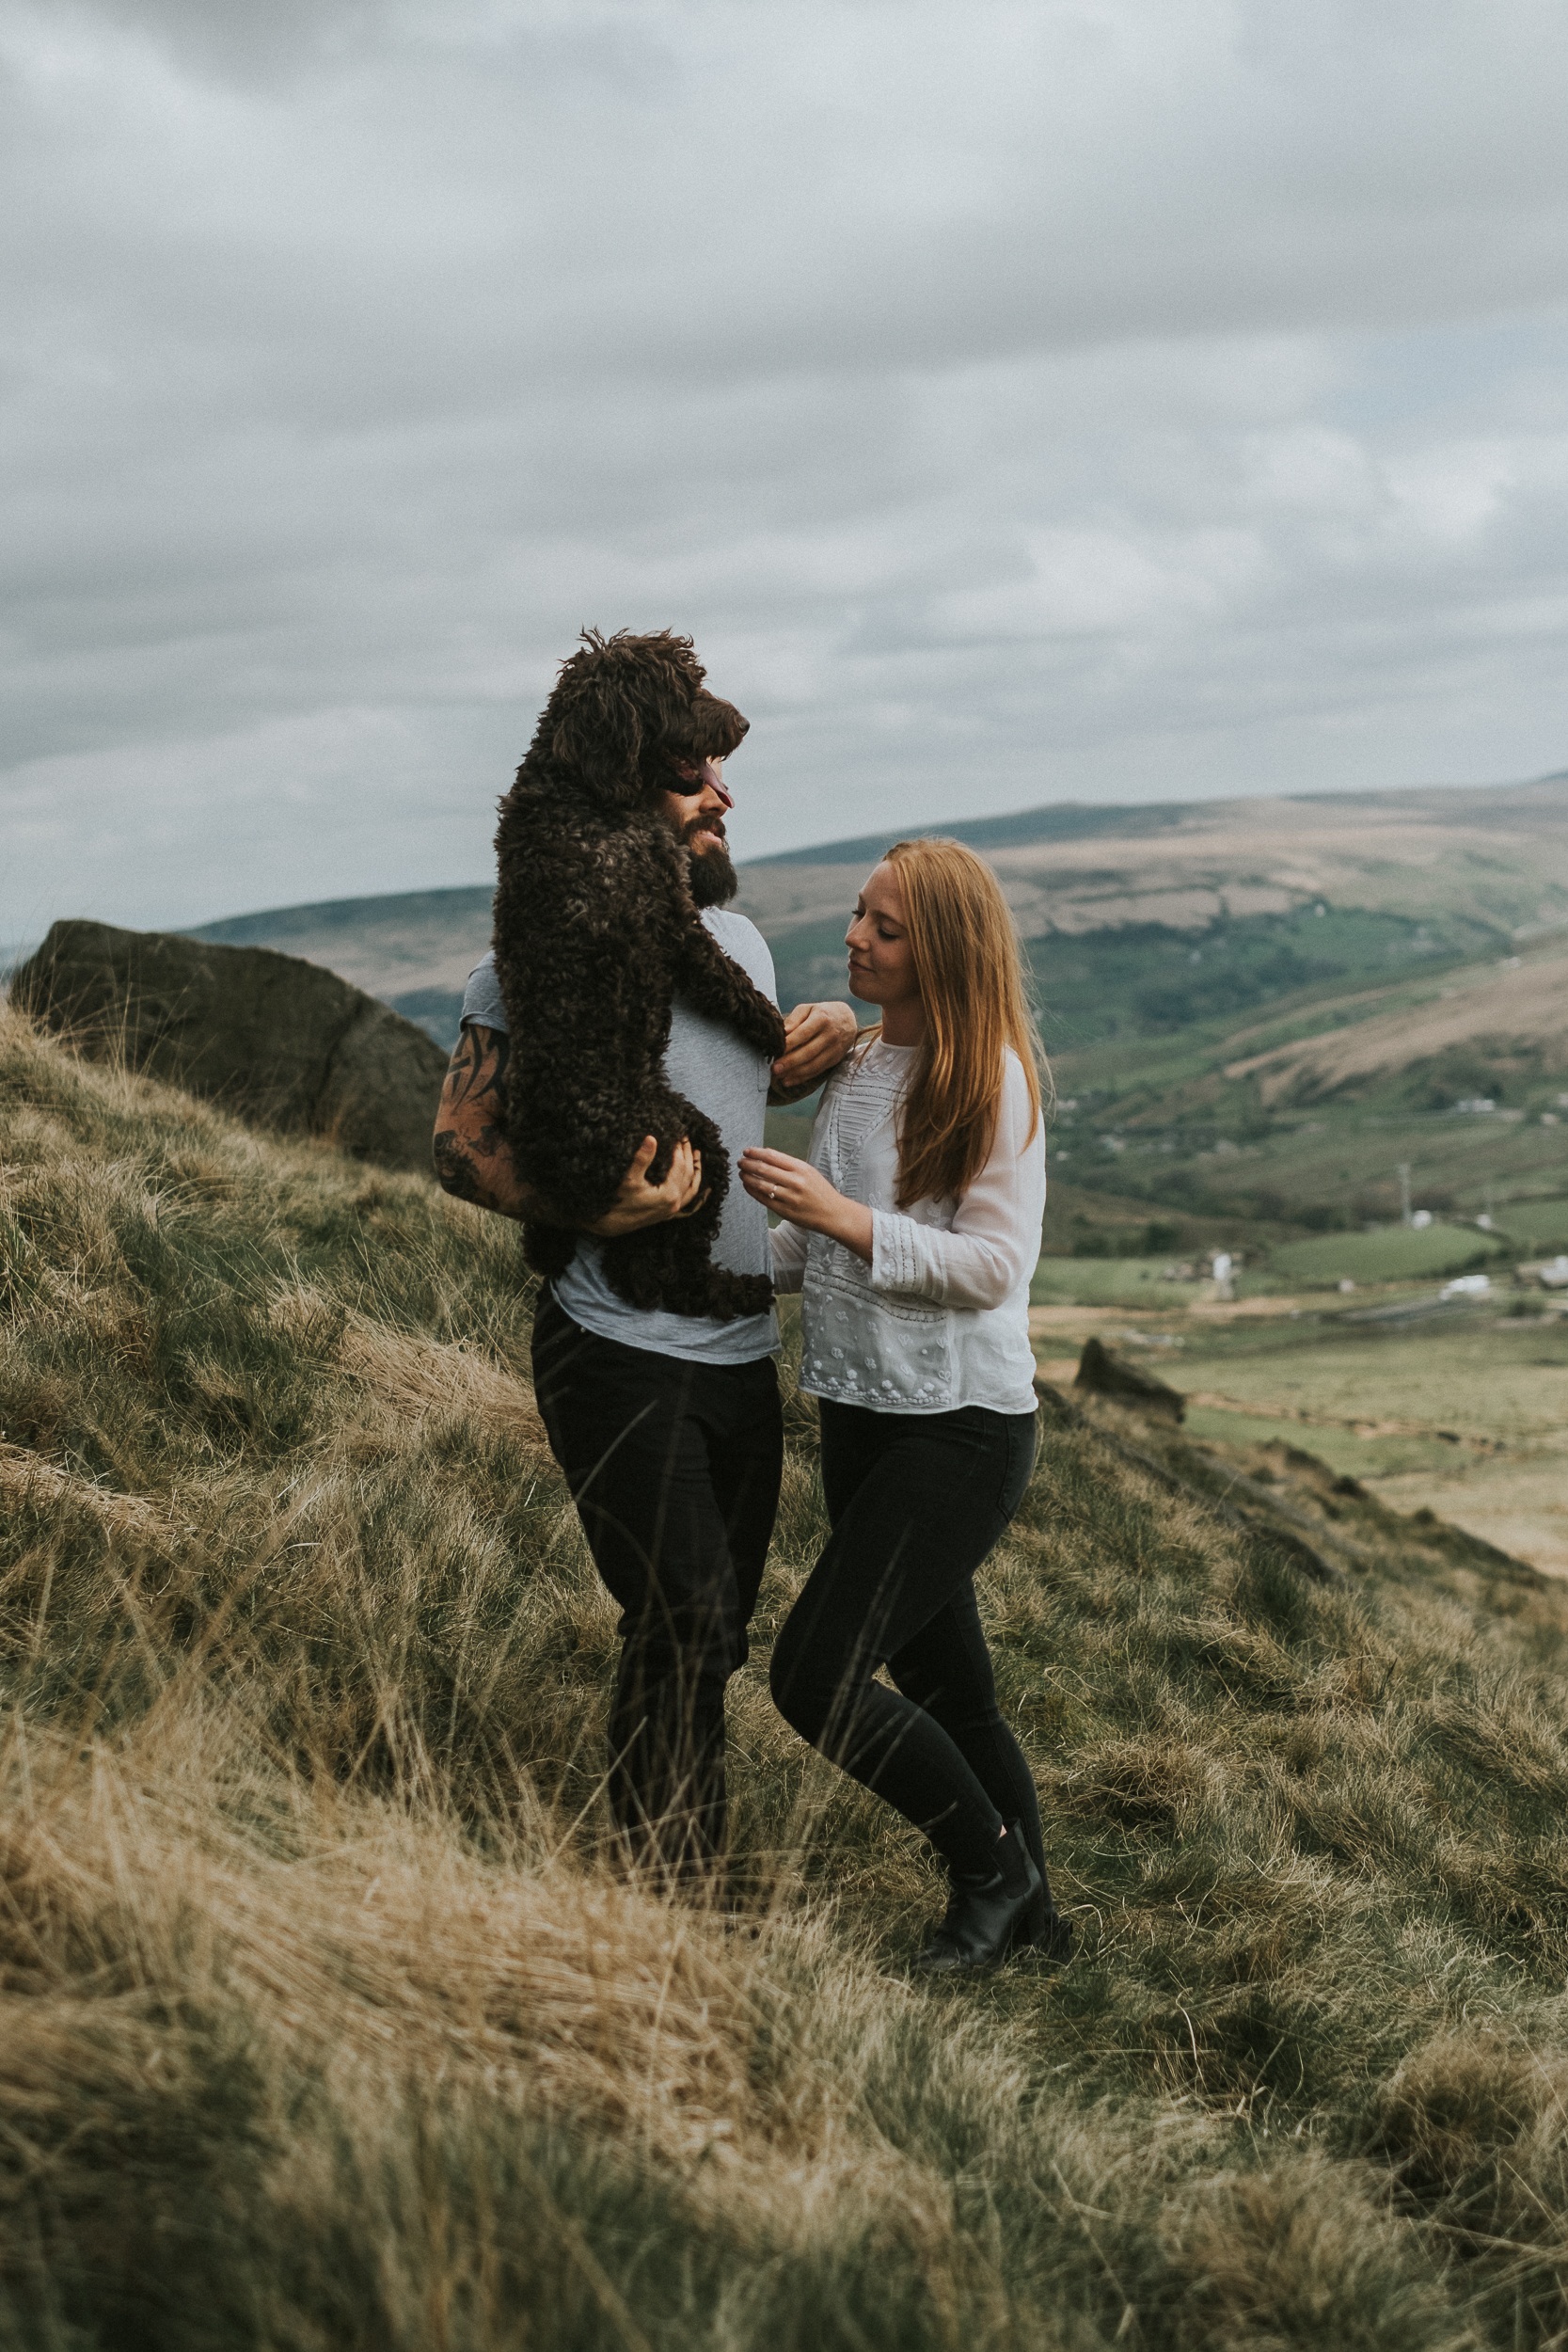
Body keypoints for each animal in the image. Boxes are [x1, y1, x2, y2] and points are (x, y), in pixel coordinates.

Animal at [491, 635, 784, 1317]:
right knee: (654, 1278)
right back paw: (737, 1290)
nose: (743, 724)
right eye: (682, 690)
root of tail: (561, 1179)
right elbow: (727, 978)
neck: (578, 791)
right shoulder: (671, 910)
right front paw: (773, 1027)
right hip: (693, 1145)